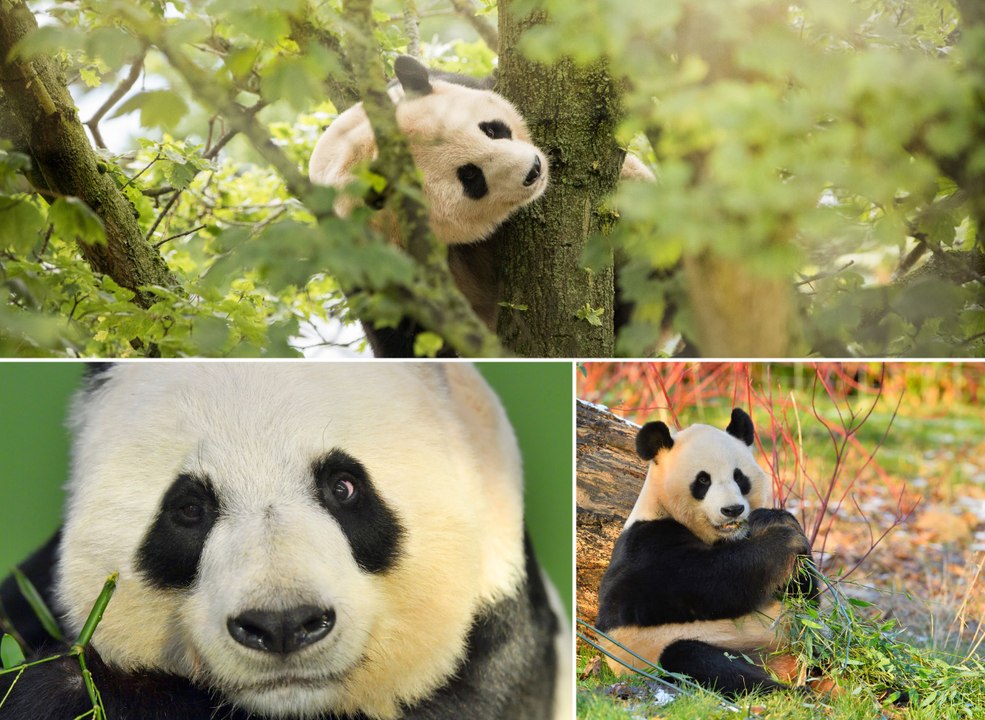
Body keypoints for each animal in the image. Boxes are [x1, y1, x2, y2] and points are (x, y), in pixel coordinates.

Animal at [594, 408, 817, 696]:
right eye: (703, 480)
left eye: (739, 477)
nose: (732, 510)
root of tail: (782, 664)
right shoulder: (645, 547)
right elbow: (708, 580)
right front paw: (784, 540)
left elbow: (804, 596)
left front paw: (775, 520)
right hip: (677, 649)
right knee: (702, 661)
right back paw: (787, 691)